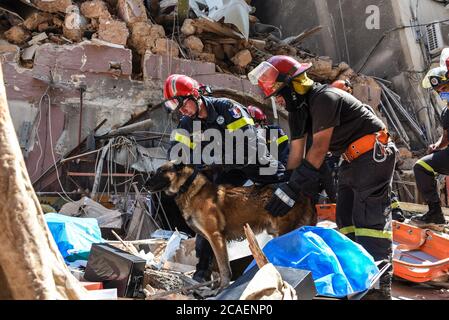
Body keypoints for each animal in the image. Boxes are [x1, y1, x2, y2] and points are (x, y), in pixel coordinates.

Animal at [146, 162, 316, 290]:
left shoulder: (215, 236)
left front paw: (223, 287)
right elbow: (215, 263)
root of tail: (303, 195)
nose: (146, 185)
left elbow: (223, 266)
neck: (188, 187)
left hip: (284, 231)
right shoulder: (211, 239)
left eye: (161, 171)